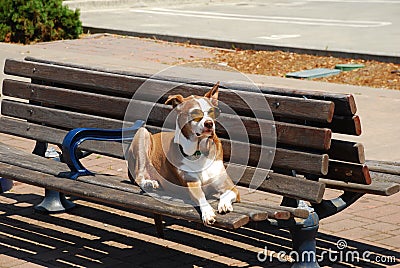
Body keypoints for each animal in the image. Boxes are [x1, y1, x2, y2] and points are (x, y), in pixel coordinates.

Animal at [128, 82, 239, 225]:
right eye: (195, 113)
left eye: (212, 112)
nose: (209, 123)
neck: (199, 151)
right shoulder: (192, 184)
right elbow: (201, 197)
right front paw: (207, 212)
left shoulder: (229, 186)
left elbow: (227, 193)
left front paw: (224, 204)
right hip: (143, 134)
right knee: (139, 176)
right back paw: (149, 183)